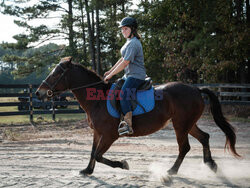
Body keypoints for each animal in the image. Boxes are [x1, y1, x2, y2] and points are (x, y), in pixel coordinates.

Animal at [35, 57, 240, 176]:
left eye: (56, 73)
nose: (38, 92)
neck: (98, 99)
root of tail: (196, 89)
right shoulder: (97, 133)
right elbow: (93, 152)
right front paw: (87, 170)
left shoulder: (110, 135)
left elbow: (99, 155)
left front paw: (122, 164)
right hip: (187, 124)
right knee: (204, 137)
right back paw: (211, 165)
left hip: (180, 125)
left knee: (185, 147)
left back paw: (171, 171)